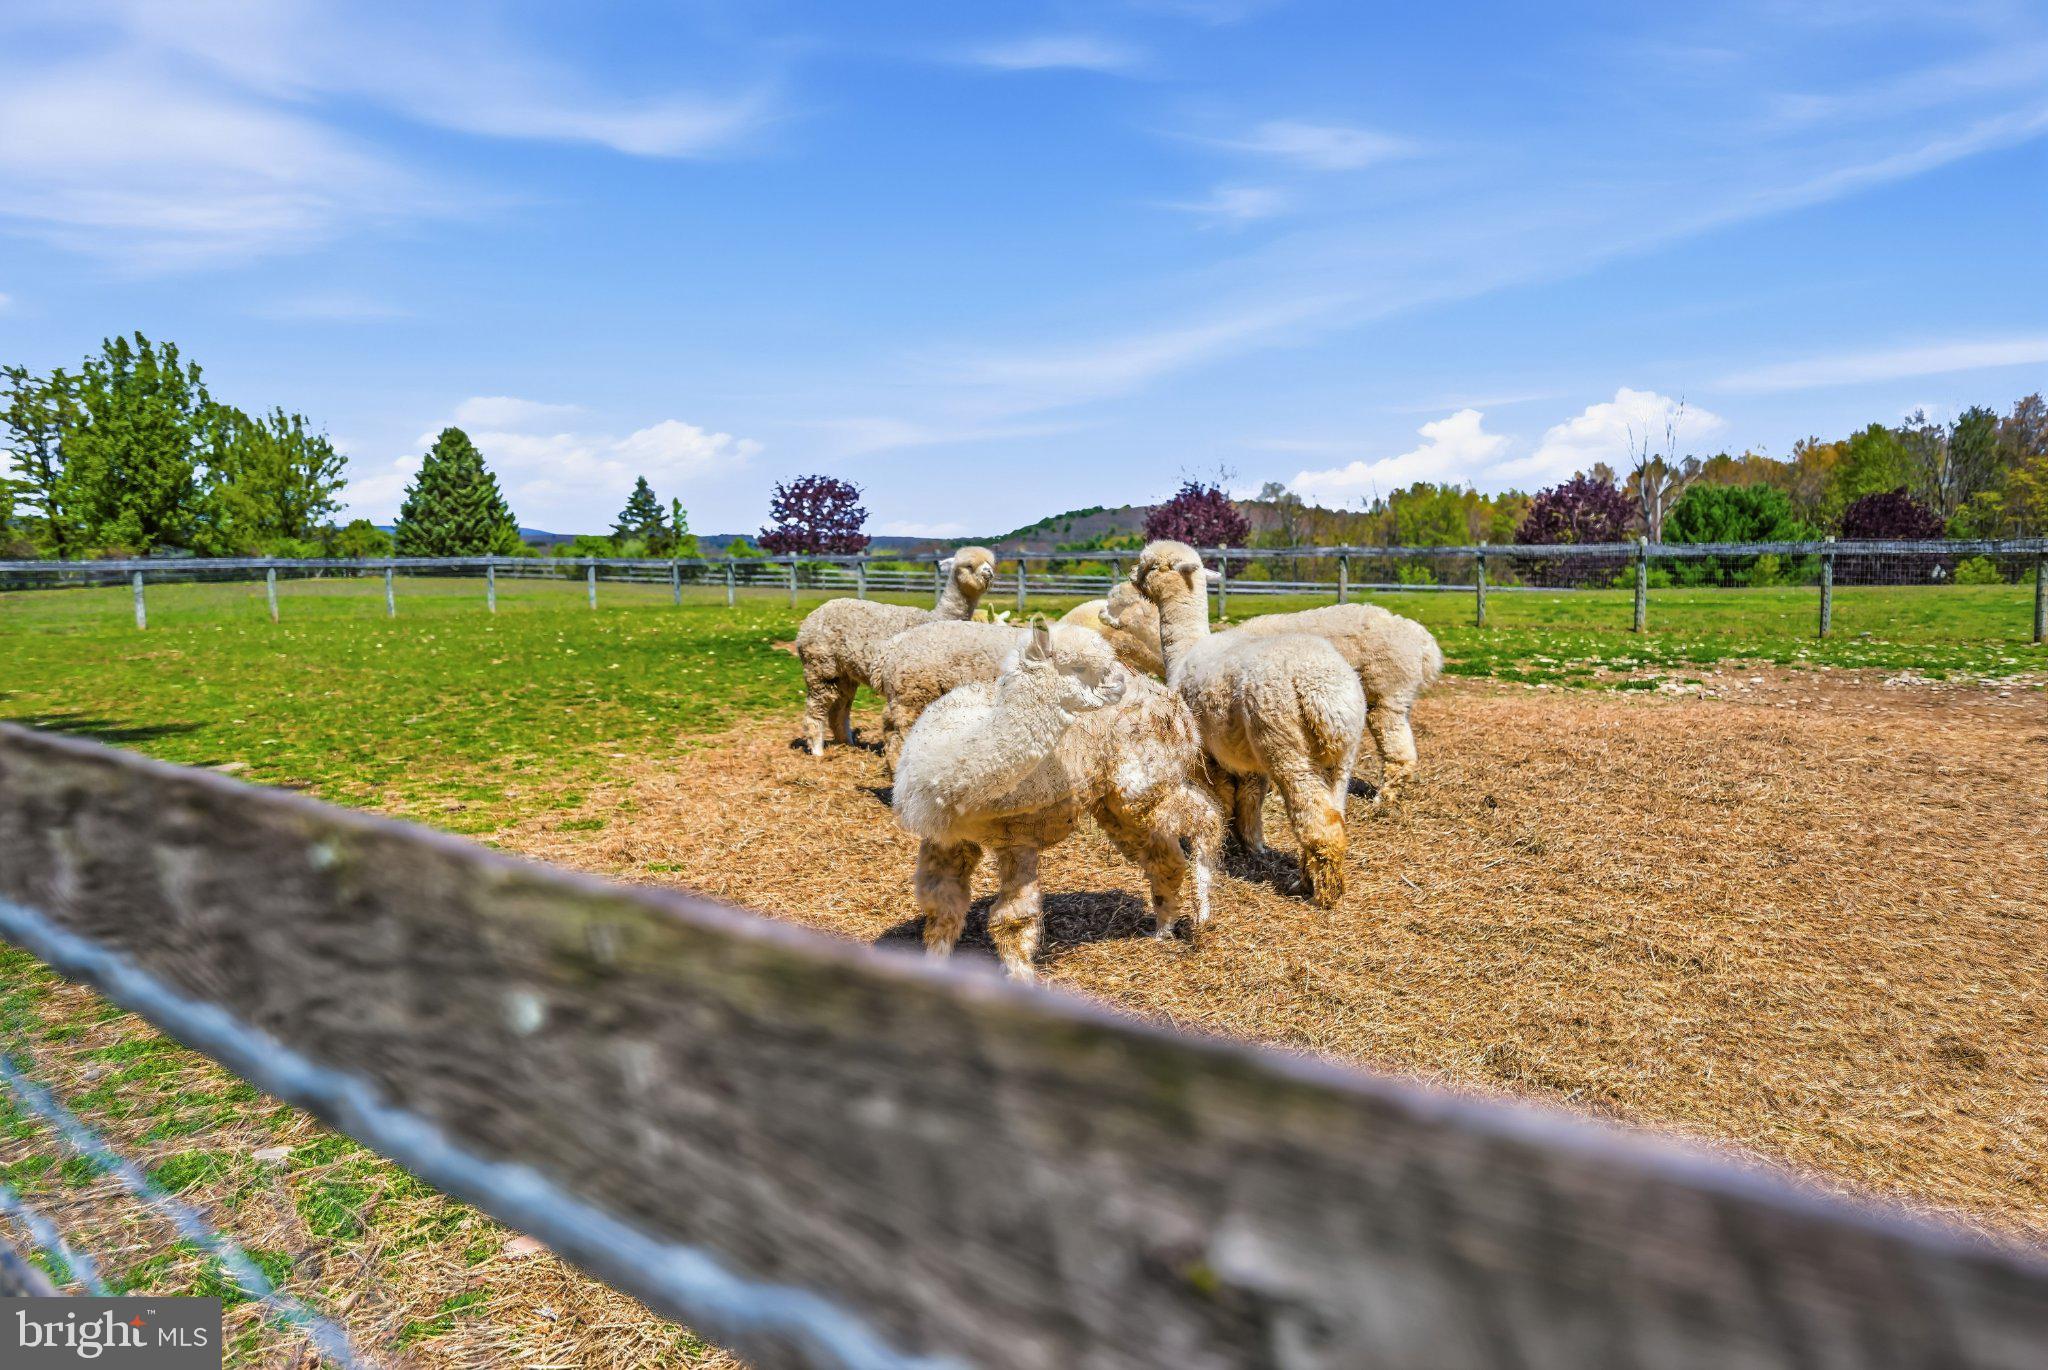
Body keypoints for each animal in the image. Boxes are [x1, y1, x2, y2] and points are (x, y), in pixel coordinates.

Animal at [792, 546, 995, 756]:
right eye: (969, 565)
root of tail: (810, 619)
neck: (936, 620)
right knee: (816, 708)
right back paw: (818, 750)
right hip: (821, 666)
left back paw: (849, 744)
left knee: (839, 710)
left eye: (990, 563)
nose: (989, 573)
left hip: (844, 674)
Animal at [893, 618, 1224, 979]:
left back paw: (1202, 918)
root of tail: (1171, 700)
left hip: (1145, 781)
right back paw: (1163, 930)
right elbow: (943, 910)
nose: (1119, 683)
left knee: (1207, 818)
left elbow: (1012, 921)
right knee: (1166, 859)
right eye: (1079, 667)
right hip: (1118, 805)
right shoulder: (947, 838)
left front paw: (1021, 980)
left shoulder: (1016, 837)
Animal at [1130, 539, 1366, 907]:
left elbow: (1223, 798)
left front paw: (1225, 842)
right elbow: (1251, 799)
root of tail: (1321, 692)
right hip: (1339, 752)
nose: (1132, 576)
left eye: (1151, 566)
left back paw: (1321, 891)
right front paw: (1252, 844)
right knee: (1334, 812)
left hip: (1283, 741)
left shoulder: (1207, 750)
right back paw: (1311, 875)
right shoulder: (1247, 756)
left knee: (1317, 820)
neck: (1185, 653)